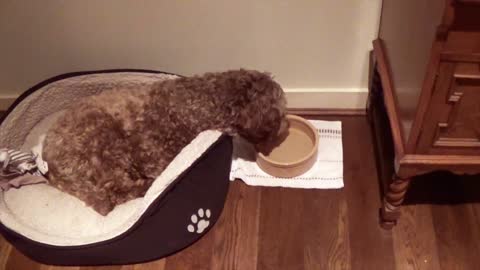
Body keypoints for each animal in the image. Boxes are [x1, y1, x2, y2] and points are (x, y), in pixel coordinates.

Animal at [43, 69, 286, 215]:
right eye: (280, 112)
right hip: (103, 144)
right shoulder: (153, 153)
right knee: (113, 195)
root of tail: (48, 166)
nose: (285, 131)